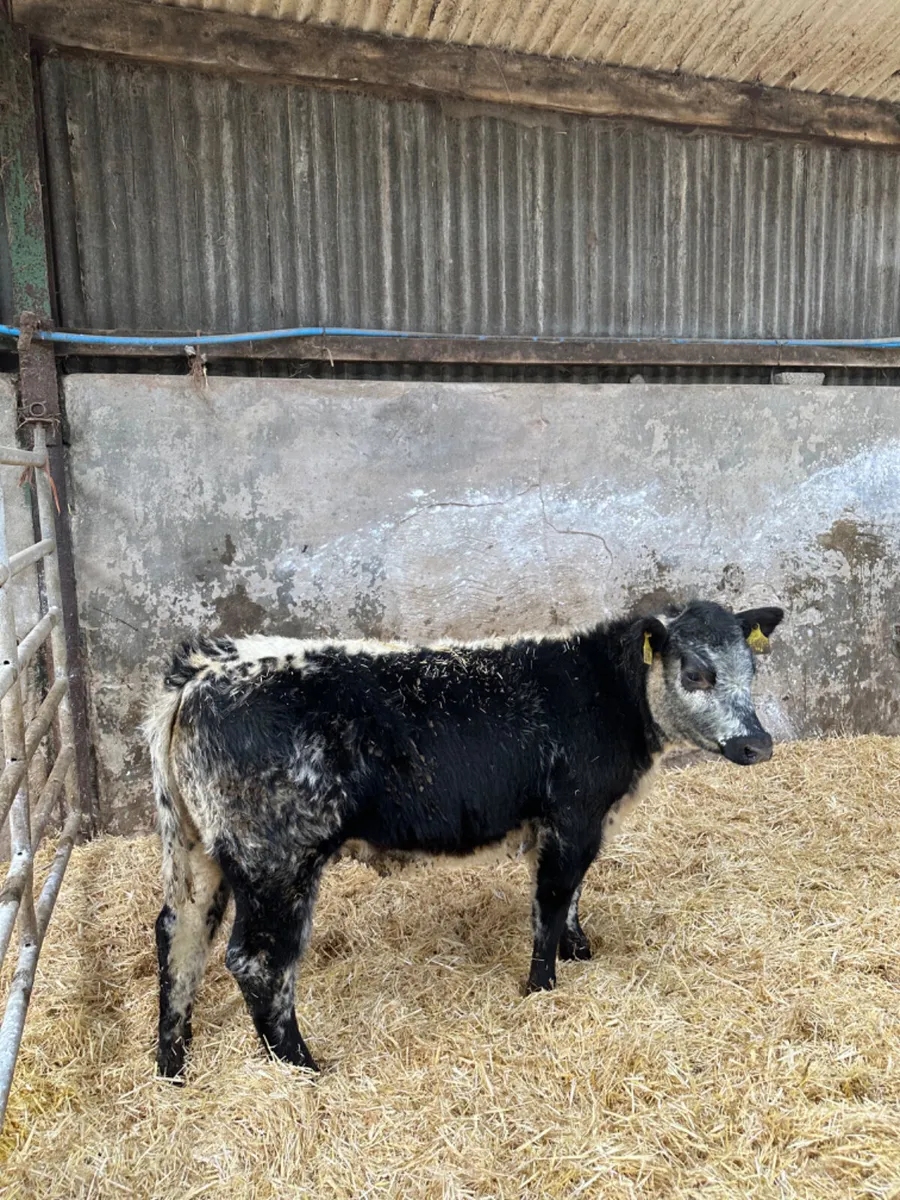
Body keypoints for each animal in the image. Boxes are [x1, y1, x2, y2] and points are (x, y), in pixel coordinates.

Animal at [145, 599, 783, 1079]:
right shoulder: (572, 816)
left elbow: (573, 895)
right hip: (277, 860)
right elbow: (552, 901)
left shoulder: (580, 824)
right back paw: (302, 1066)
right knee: (257, 961)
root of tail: (202, 673)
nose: (757, 744)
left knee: (180, 933)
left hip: (197, 850)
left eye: (752, 671)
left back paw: (173, 1064)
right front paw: (541, 989)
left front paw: (579, 951)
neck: (606, 694)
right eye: (696, 673)